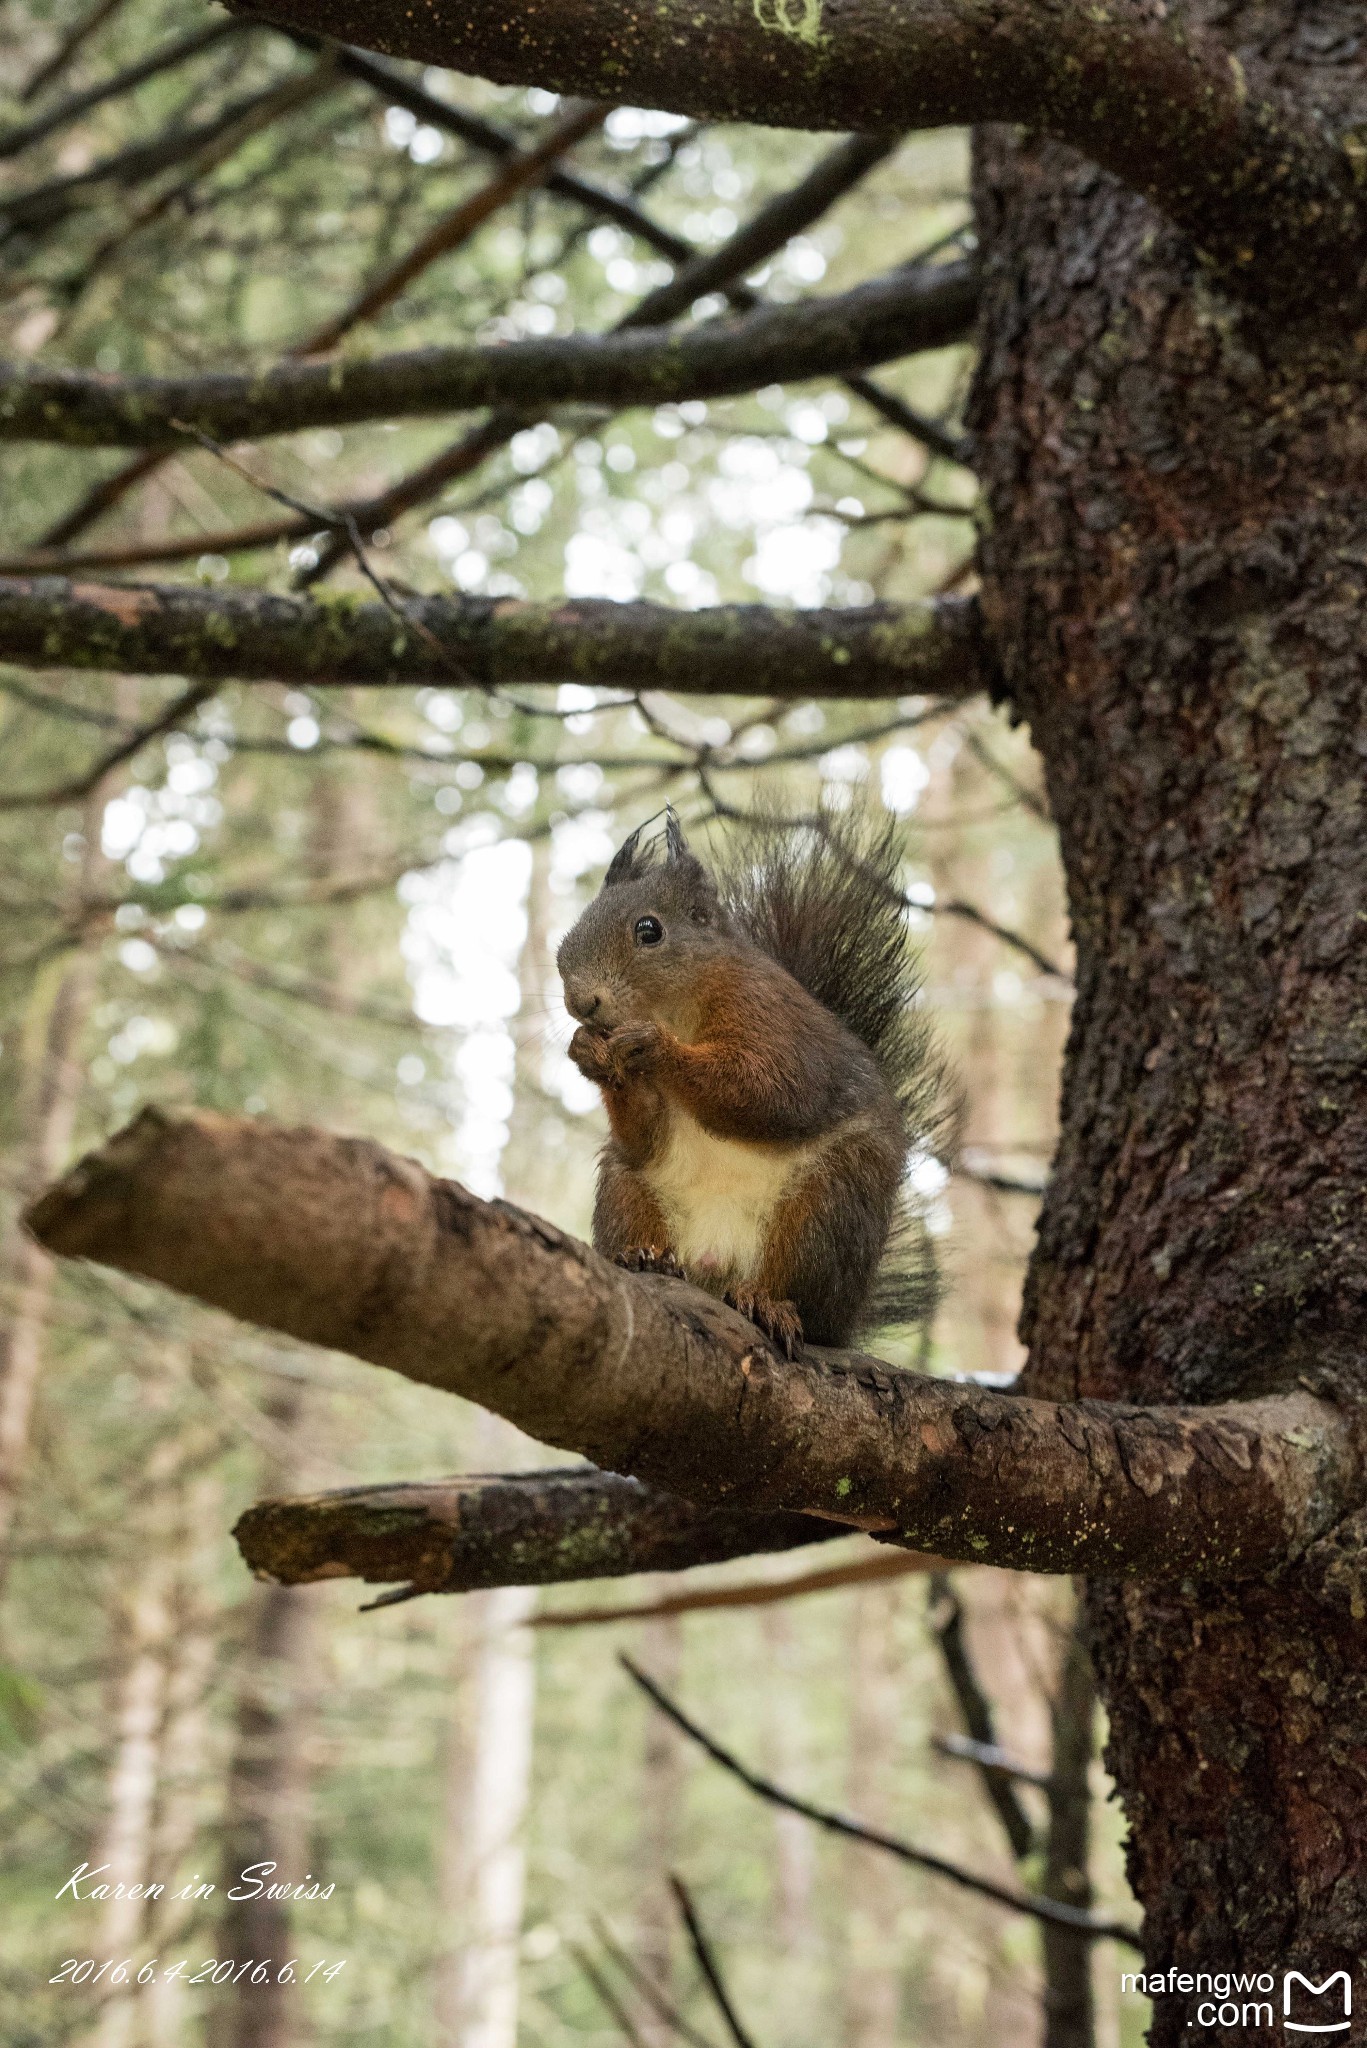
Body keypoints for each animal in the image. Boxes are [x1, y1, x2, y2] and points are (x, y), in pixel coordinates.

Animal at [557, 806, 942, 1351]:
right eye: (570, 935)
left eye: (649, 930)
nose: (581, 1003)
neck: (674, 1007)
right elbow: (644, 1134)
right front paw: (587, 1052)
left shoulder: (766, 1013)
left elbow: (771, 1093)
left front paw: (656, 1047)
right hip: (624, 1189)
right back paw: (645, 1257)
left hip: (831, 1205)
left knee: (801, 1291)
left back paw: (768, 1302)